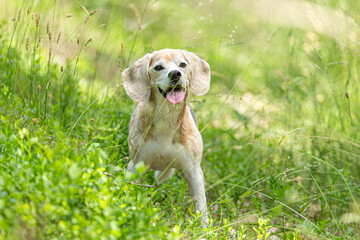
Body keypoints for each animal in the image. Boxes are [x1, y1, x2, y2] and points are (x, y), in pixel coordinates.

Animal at [122, 47, 210, 224]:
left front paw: (204, 227)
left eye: (182, 64)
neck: (167, 119)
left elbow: (200, 204)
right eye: (158, 67)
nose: (175, 74)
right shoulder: (136, 166)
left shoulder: (193, 171)